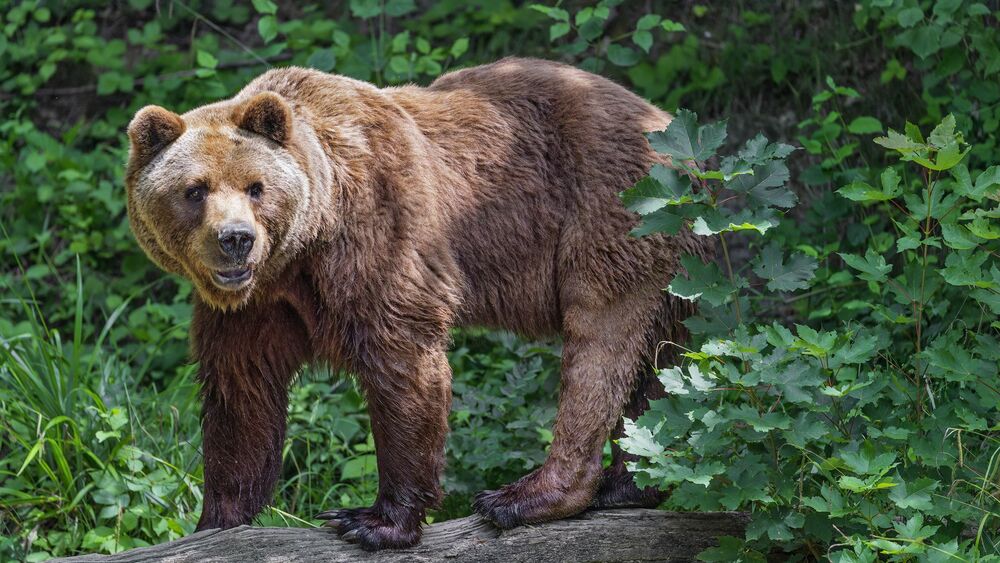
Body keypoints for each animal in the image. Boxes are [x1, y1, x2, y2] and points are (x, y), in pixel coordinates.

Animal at [125, 57, 711, 551]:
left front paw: (374, 522)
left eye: (256, 186)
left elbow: (403, 364)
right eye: (195, 189)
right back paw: (632, 484)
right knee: (661, 366)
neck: (299, 255)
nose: (236, 239)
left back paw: (525, 497)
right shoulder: (249, 310)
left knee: (600, 346)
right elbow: (241, 397)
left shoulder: (378, 237)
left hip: (612, 211)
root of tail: (667, 124)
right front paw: (216, 519)